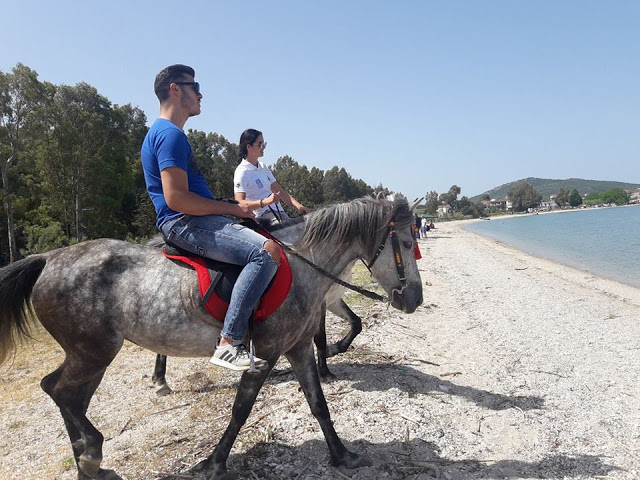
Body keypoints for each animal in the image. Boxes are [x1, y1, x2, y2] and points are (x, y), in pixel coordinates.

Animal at [1, 196, 424, 480]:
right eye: (405, 244)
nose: (415, 299)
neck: (301, 265)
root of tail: (48, 258)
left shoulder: (298, 347)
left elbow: (319, 404)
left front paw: (342, 455)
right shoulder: (265, 353)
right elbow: (241, 410)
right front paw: (215, 462)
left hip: (91, 355)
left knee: (70, 397)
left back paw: (88, 463)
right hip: (94, 351)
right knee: (58, 390)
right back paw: (91, 453)